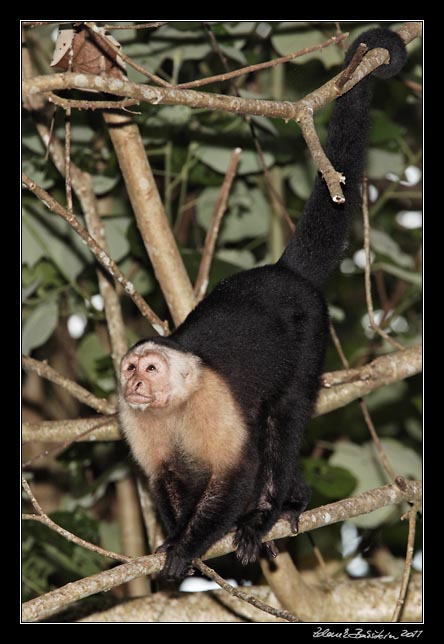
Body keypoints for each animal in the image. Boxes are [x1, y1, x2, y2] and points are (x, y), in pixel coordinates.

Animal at [117, 27, 406, 580]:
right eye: (130, 369)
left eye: (152, 368)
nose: (136, 383)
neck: (176, 403)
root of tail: (283, 272)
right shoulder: (134, 418)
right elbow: (165, 476)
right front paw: (175, 536)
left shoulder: (210, 397)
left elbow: (239, 469)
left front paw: (188, 545)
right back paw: (293, 498)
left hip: (310, 327)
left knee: (283, 416)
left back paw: (273, 508)